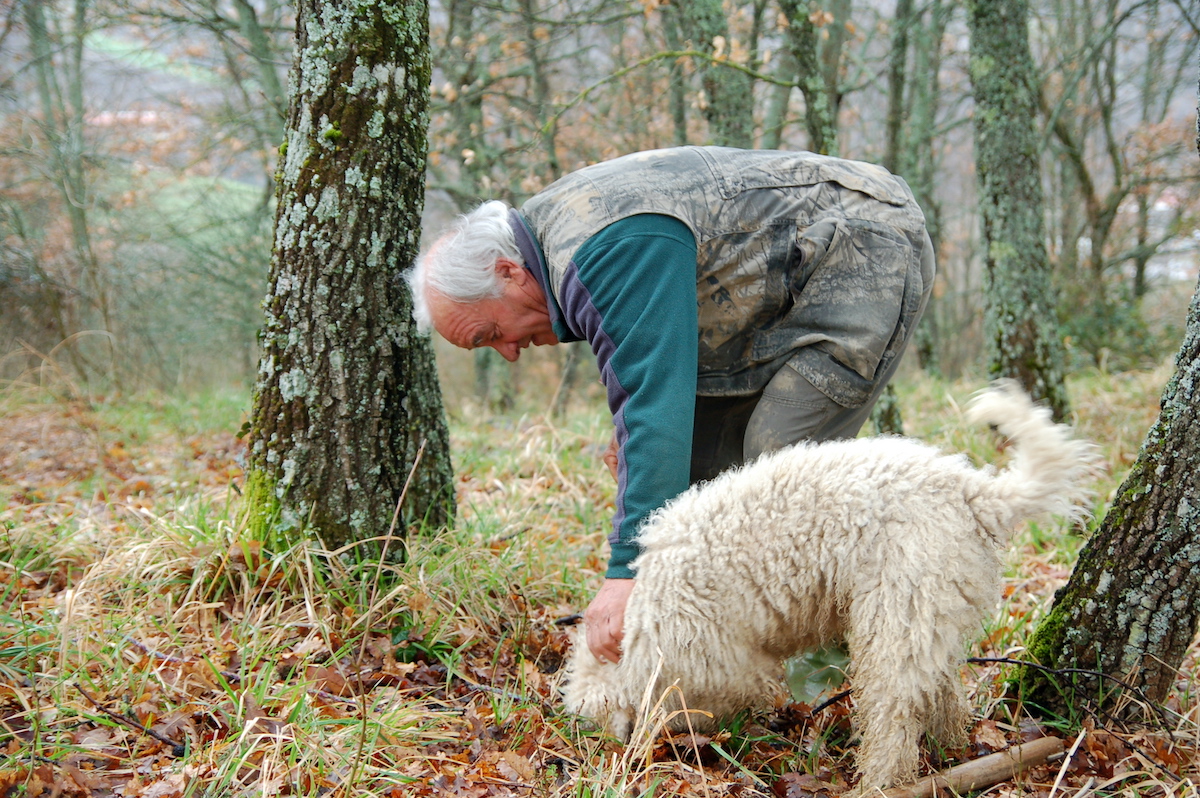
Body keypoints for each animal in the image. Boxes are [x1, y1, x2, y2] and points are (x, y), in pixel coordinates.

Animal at [561, 381, 1099, 792]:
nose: (616, 755)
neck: (640, 622)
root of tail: (974, 492)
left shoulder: (723, 662)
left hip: (895, 619)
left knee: (893, 715)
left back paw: (879, 782)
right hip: (926, 613)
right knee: (941, 692)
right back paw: (951, 747)